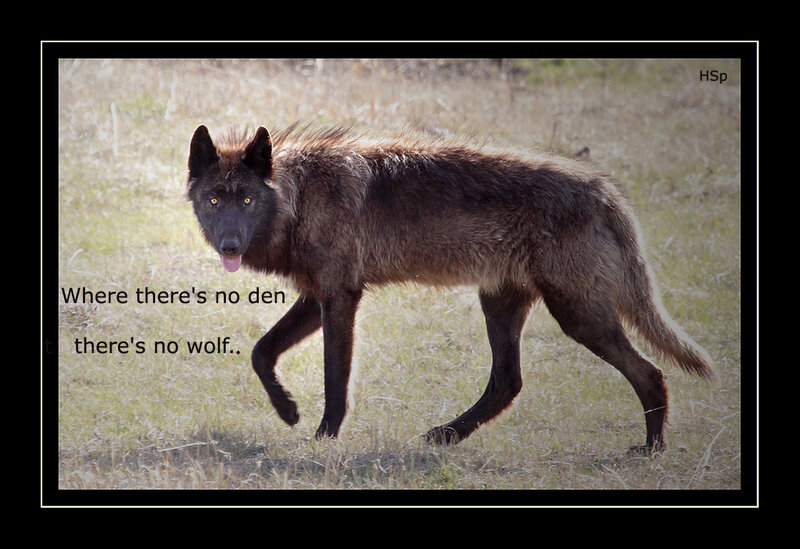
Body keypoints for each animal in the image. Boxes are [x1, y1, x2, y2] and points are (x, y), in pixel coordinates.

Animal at [186, 123, 713, 452]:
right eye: (214, 201)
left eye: (247, 201)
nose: (230, 245)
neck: (300, 196)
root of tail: (603, 191)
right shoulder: (318, 296)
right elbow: (261, 351)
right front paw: (288, 410)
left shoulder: (339, 298)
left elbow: (335, 381)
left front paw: (322, 439)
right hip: (504, 307)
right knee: (507, 382)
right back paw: (444, 436)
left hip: (579, 318)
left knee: (650, 373)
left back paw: (651, 450)